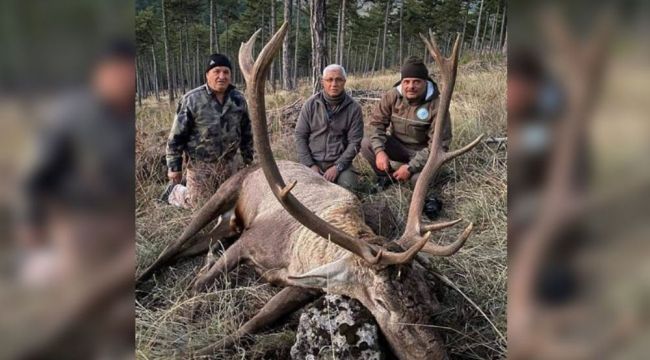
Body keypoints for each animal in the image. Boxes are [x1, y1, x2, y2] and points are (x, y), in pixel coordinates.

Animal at [137, 23, 480, 360]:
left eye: (428, 297)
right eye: (382, 302)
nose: (434, 355)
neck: (302, 254)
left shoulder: (305, 284)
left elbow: (258, 321)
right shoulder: (250, 241)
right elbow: (200, 286)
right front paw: (192, 347)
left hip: (229, 225)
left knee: (200, 242)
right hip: (223, 192)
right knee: (174, 246)